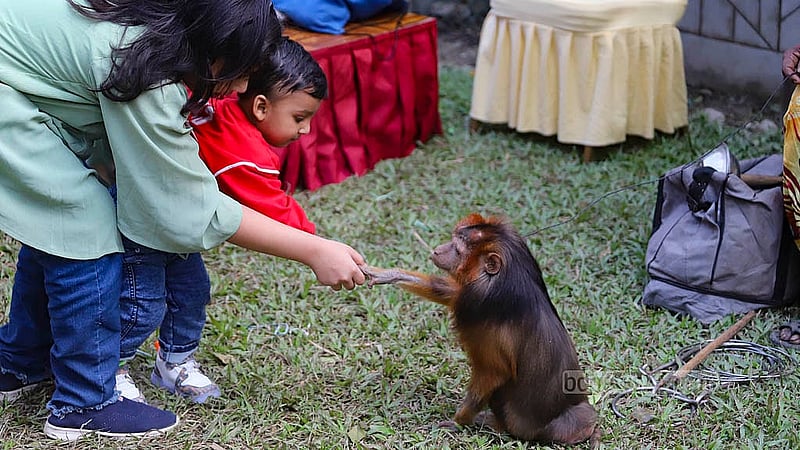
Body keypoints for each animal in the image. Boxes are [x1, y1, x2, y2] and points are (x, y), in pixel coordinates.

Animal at [361, 213, 599, 446]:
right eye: (452, 241)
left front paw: (459, 421)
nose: (437, 250)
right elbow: (448, 291)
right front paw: (389, 274)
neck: (501, 278)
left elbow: (494, 371)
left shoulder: (484, 302)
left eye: (457, 249)